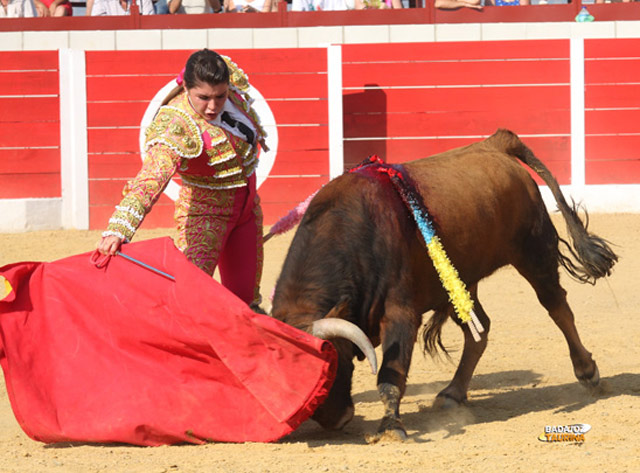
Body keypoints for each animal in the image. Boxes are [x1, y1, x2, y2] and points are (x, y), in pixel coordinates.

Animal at [268, 128, 616, 438]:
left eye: (331, 364)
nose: (337, 420)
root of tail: (496, 143)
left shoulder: (400, 313)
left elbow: (390, 374)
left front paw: (391, 427)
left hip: (534, 251)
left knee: (557, 306)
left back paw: (587, 371)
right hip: (461, 283)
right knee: (479, 330)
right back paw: (452, 393)